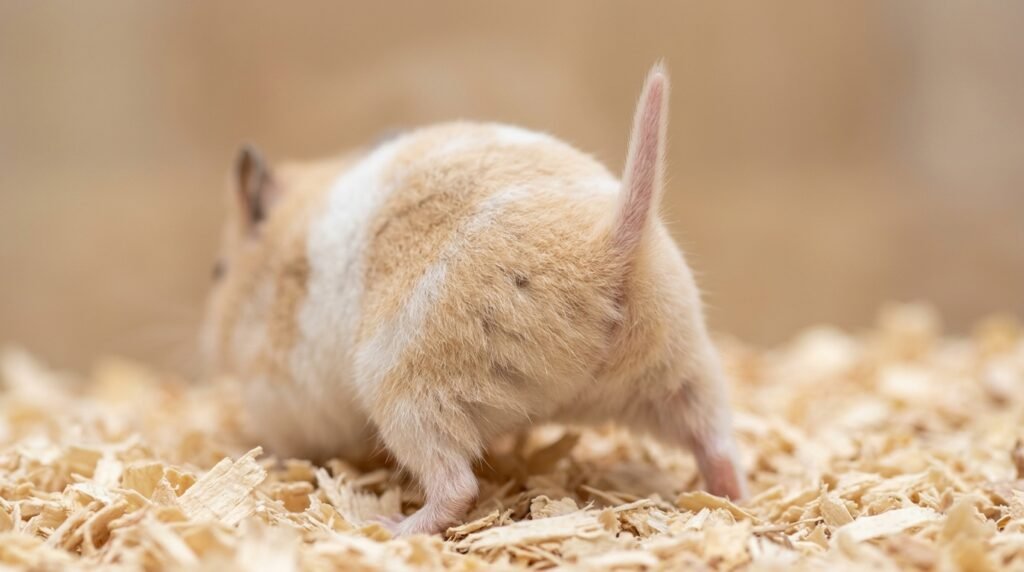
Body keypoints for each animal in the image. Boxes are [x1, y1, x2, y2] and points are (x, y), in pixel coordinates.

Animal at [201, 64, 746, 536]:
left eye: (216, 271)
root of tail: (604, 248)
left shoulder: (280, 395)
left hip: (406, 394)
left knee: (456, 486)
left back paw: (390, 528)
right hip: (681, 367)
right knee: (719, 444)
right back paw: (735, 502)